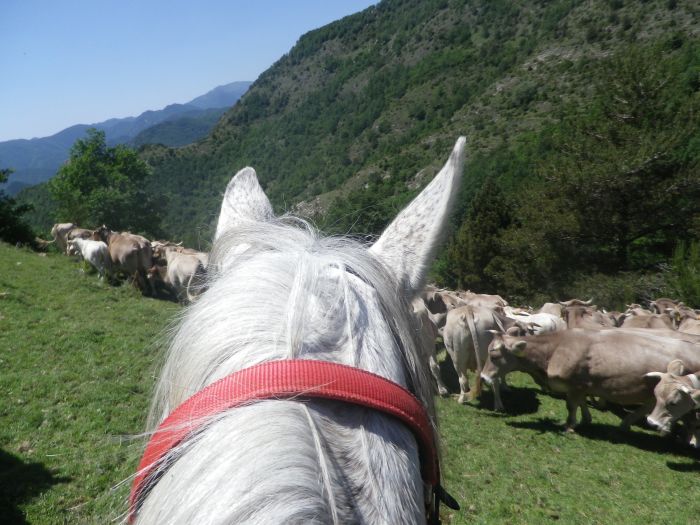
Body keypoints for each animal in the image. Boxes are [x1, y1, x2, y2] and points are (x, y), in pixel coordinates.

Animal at [482, 328, 700, 430]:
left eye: (494, 355)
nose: (483, 378)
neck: (555, 348)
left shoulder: (576, 384)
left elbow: (572, 405)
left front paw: (569, 425)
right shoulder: (583, 385)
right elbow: (581, 403)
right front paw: (585, 419)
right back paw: (626, 423)